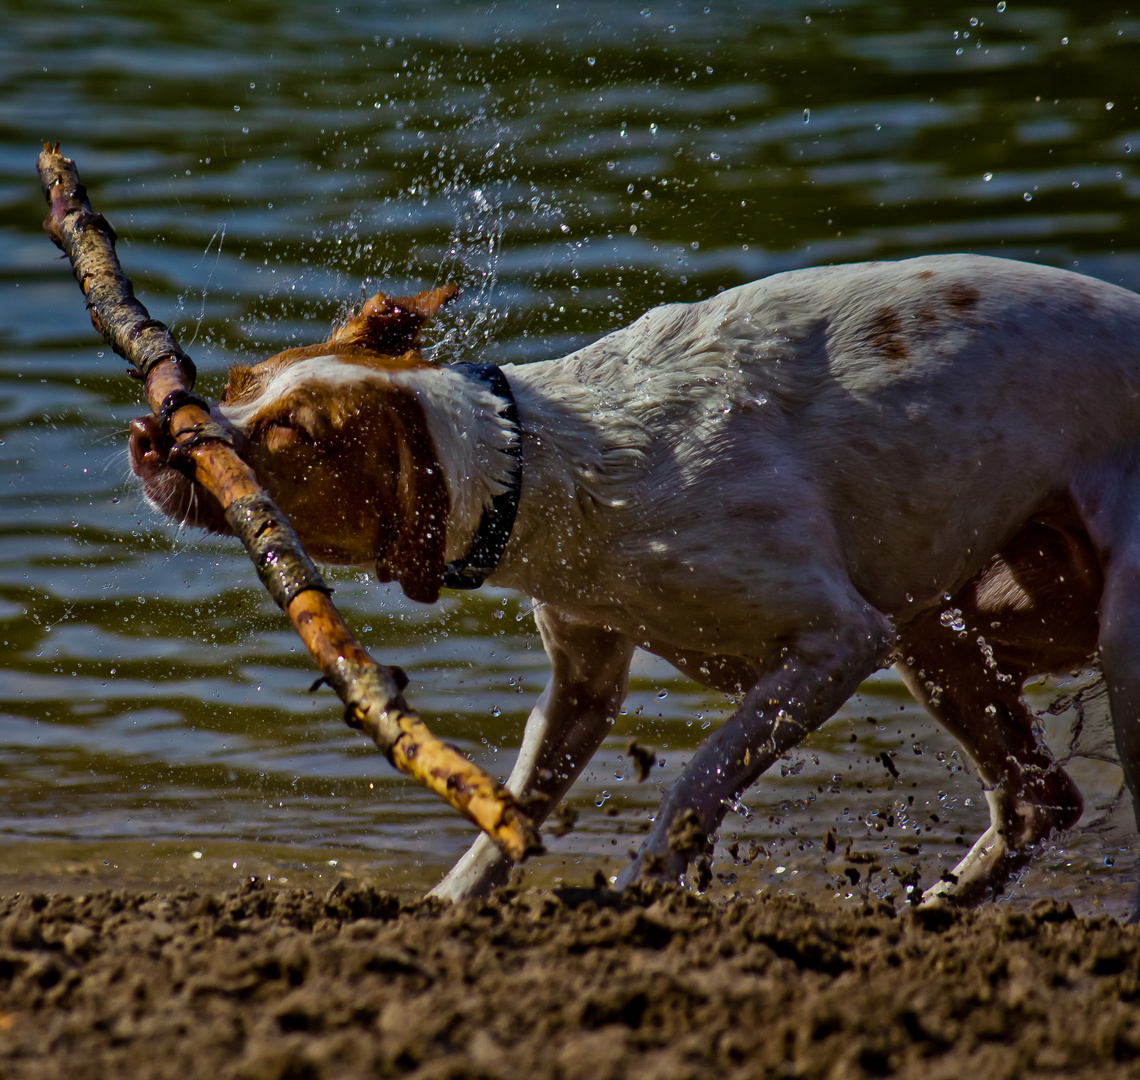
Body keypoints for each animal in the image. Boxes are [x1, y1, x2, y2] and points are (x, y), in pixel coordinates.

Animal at [129, 257, 1140, 916]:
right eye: (235, 382)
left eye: (291, 437)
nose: (152, 433)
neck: (547, 465)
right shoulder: (584, 677)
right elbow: (512, 808)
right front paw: (451, 904)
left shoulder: (837, 643)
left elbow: (696, 780)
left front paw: (638, 891)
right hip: (938, 629)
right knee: (1040, 799)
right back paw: (929, 914)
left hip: (1106, 640)